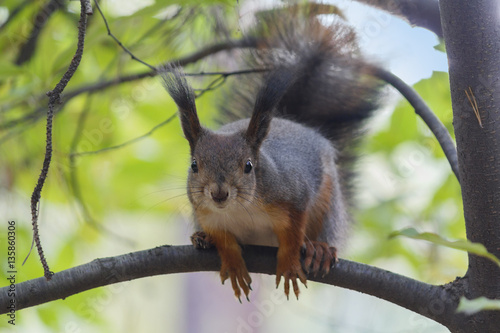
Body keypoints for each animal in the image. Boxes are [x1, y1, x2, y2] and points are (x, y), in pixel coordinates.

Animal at [160, 5, 378, 300]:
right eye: (194, 165)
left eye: (248, 166)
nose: (218, 194)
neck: (238, 208)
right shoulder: (207, 215)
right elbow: (226, 243)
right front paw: (233, 264)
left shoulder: (292, 194)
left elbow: (293, 235)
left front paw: (288, 265)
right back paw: (201, 239)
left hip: (329, 202)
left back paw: (320, 248)